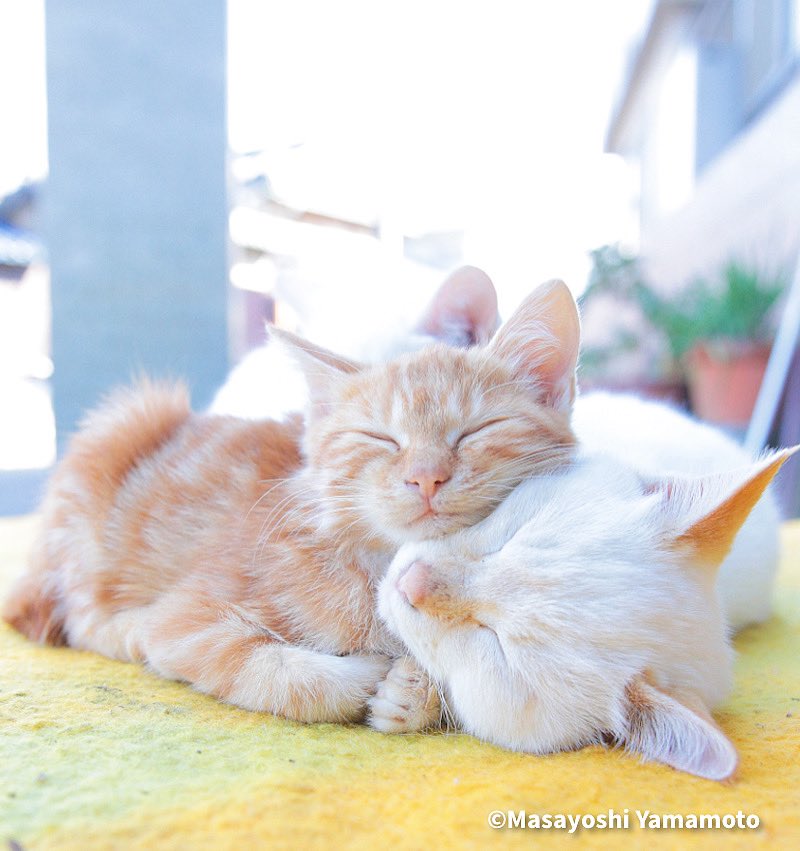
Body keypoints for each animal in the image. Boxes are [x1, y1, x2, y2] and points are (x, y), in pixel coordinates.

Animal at [3, 277, 580, 726]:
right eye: (380, 438)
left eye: (477, 430)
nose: (426, 477)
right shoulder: (189, 619)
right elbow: (278, 676)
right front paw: (371, 676)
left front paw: (412, 691)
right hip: (118, 436)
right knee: (78, 615)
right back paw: (125, 631)